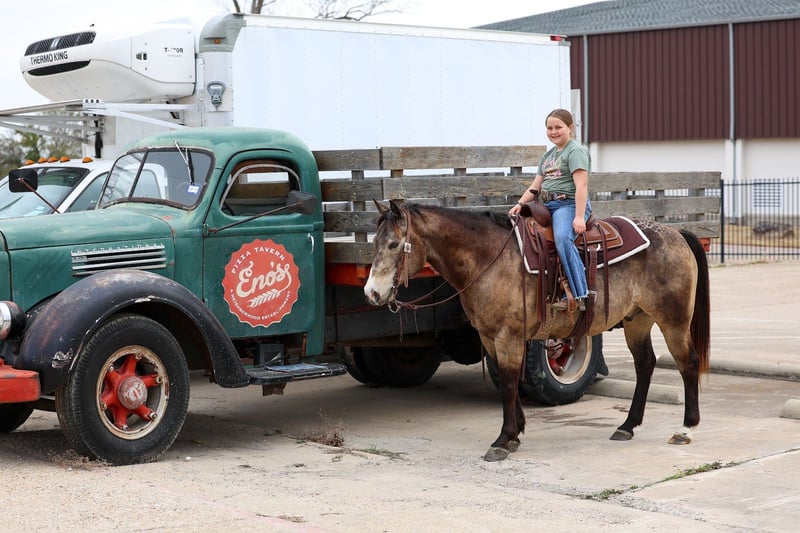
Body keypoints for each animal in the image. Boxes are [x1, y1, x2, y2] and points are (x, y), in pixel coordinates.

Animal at [364, 200, 710, 462]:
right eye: (374, 243)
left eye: (394, 244)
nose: (372, 293)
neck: (489, 259)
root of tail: (677, 233)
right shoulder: (490, 337)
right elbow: (510, 383)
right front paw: (516, 432)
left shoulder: (508, 336)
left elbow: (507, 384)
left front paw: (503, 440)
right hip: (637, 320)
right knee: (645, 365)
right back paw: (628, 425)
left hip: (673, 320)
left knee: (688, 363)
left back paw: (686, 429)